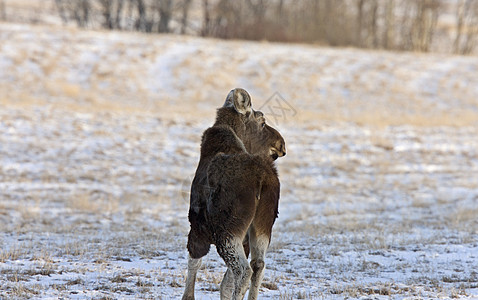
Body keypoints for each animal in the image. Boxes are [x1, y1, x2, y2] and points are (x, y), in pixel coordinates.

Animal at [182, 88, 288, 298]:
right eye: (262, 121)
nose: (282, 145)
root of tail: (262, 180)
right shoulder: (245, 237)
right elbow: (226, 283)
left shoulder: (196, 223)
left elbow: (194, 265)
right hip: (262, 227)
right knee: (258, 265)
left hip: (228, 231)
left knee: (244, 270)